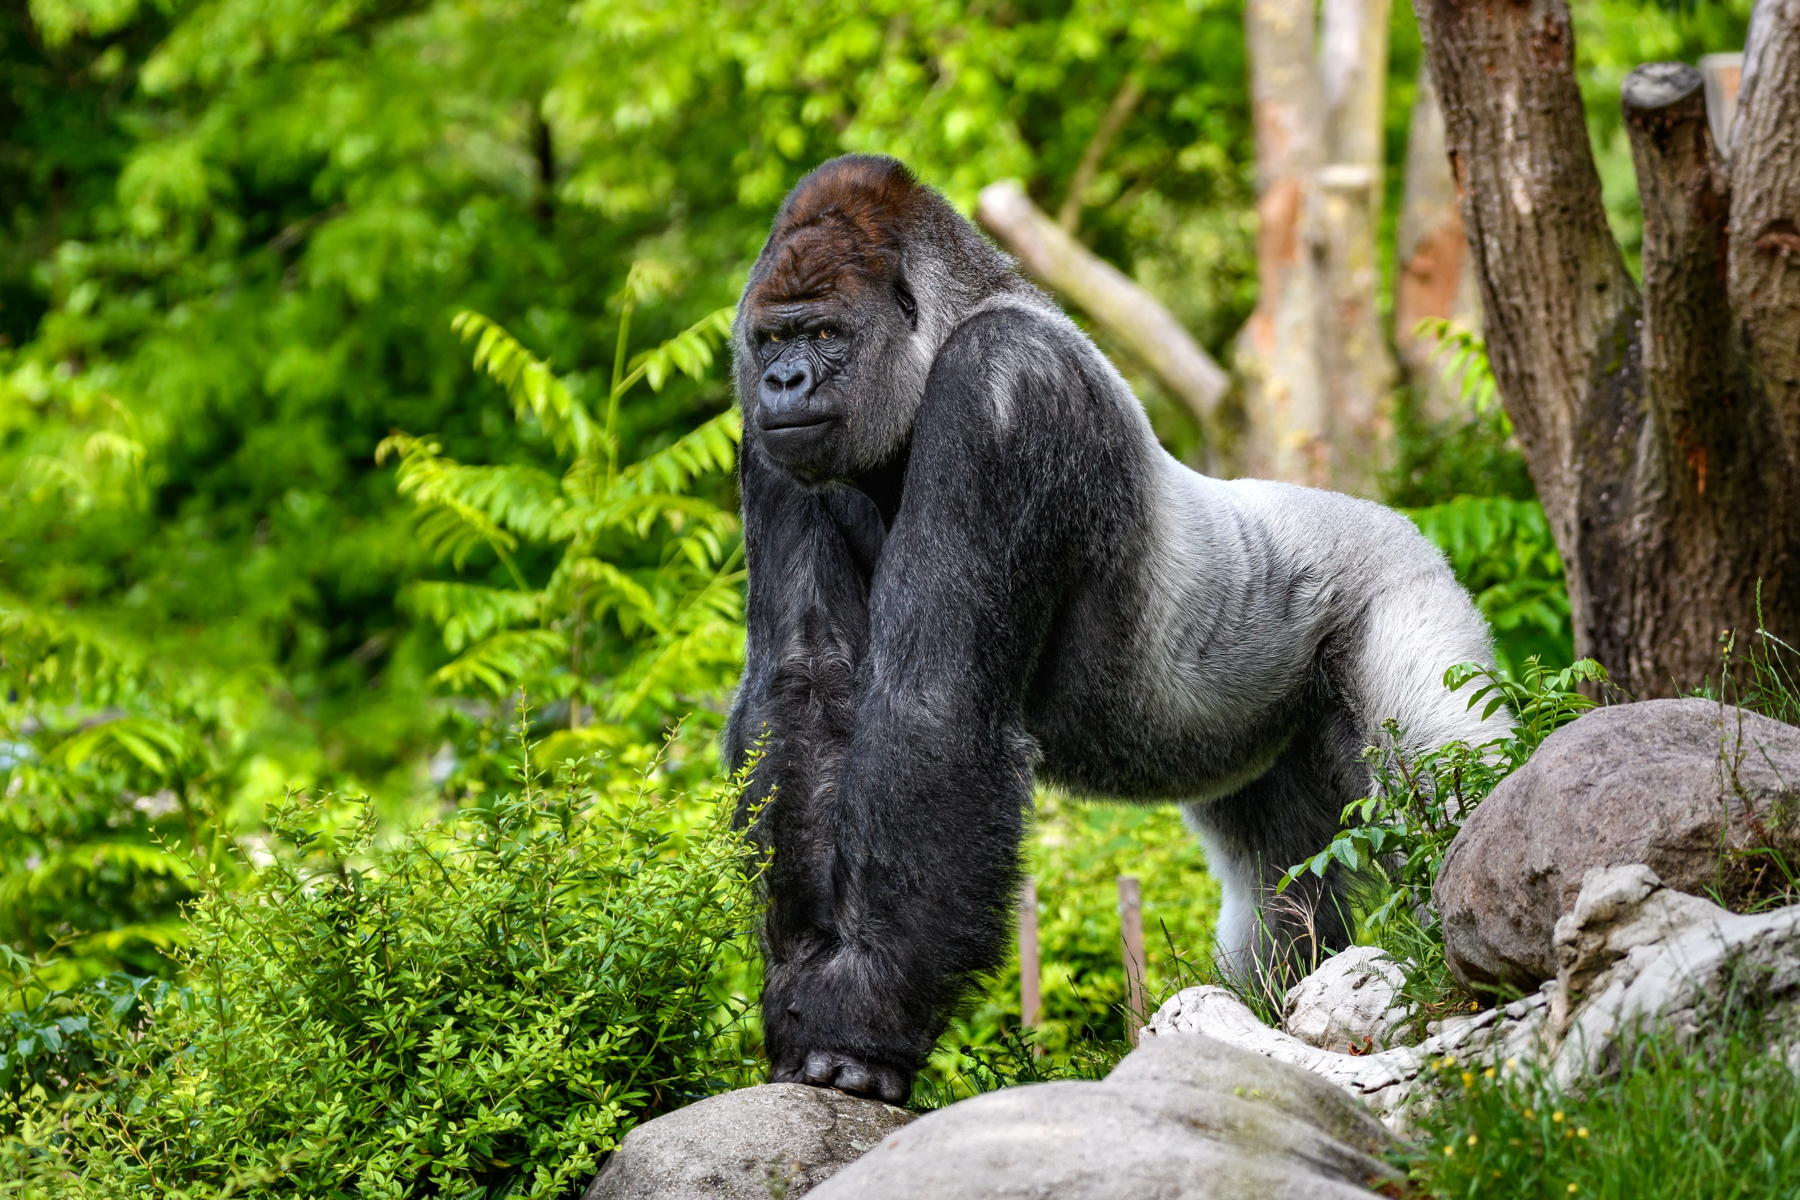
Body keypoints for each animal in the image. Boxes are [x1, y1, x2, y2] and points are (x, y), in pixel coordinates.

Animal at [724, 155, 1502, 1104]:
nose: (784, 384)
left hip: (1406, 592)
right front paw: (802, 993)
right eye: (771, 341)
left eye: (828, 334)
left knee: (1446, 790)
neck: (949, 325)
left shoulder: (1005, 390)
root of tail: (1405, 526)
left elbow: (933, 706)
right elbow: (804, 693)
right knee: (1277, 879)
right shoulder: (773, 445)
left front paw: (859, 1021)